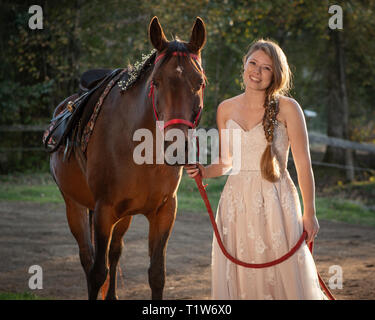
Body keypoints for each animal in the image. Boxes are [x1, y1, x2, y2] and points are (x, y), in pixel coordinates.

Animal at [49, 16, 209, 298]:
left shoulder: (164, 211)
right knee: (88, 258)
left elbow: (156, 274)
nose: (177, 148)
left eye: (199, 82)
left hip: (123, 216)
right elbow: (97, 273)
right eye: (156, 82)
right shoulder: (103, 211)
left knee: (115, 253)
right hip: (74, 205)